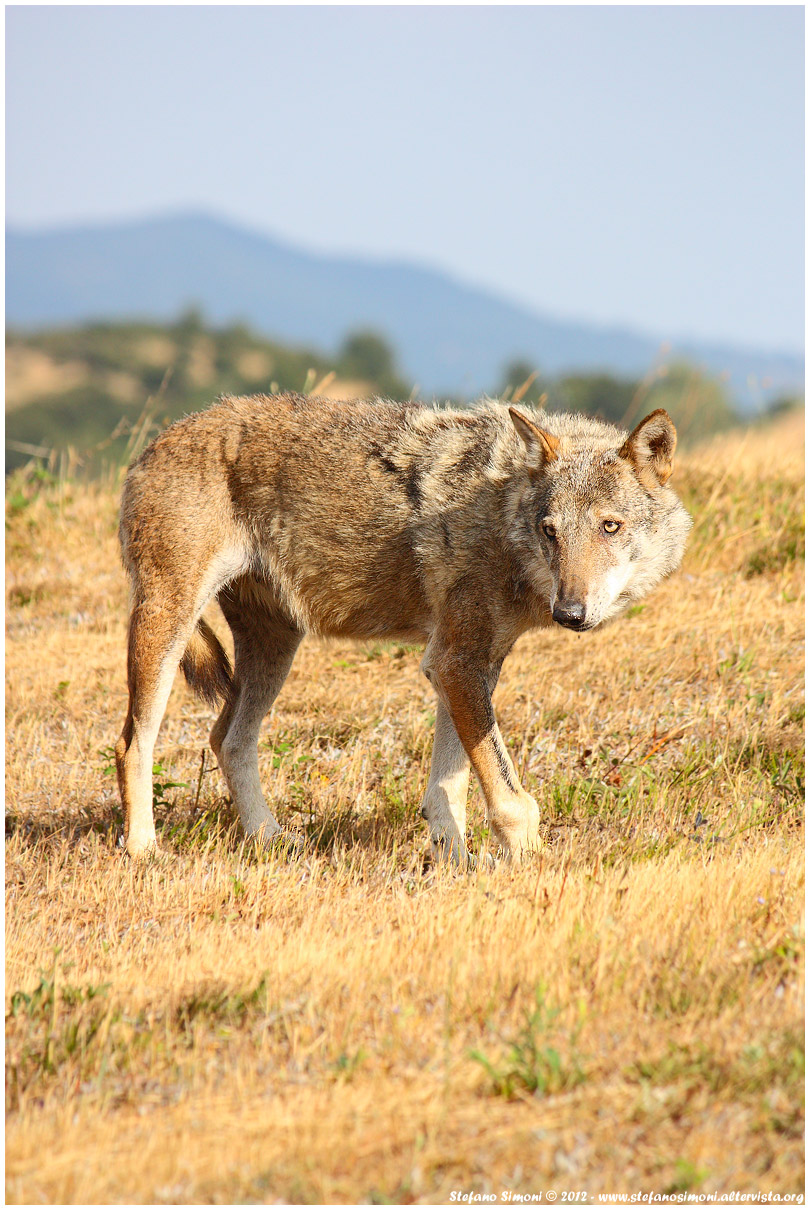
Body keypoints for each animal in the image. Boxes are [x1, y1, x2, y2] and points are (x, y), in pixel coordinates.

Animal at [115, 393, 691, 866]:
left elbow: (448, 787)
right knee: (131, 745)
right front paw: (528, 867)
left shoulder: (469, 665)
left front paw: (454, 863)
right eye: (550, 532)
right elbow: (508, 796)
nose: (569, 613)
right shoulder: (456, 662)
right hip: (168, 626)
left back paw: (269, 840)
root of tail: (152, 444)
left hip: (276, 647)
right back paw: (144, 850)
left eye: (609, 526)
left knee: (227, 739)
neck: (500, 514)